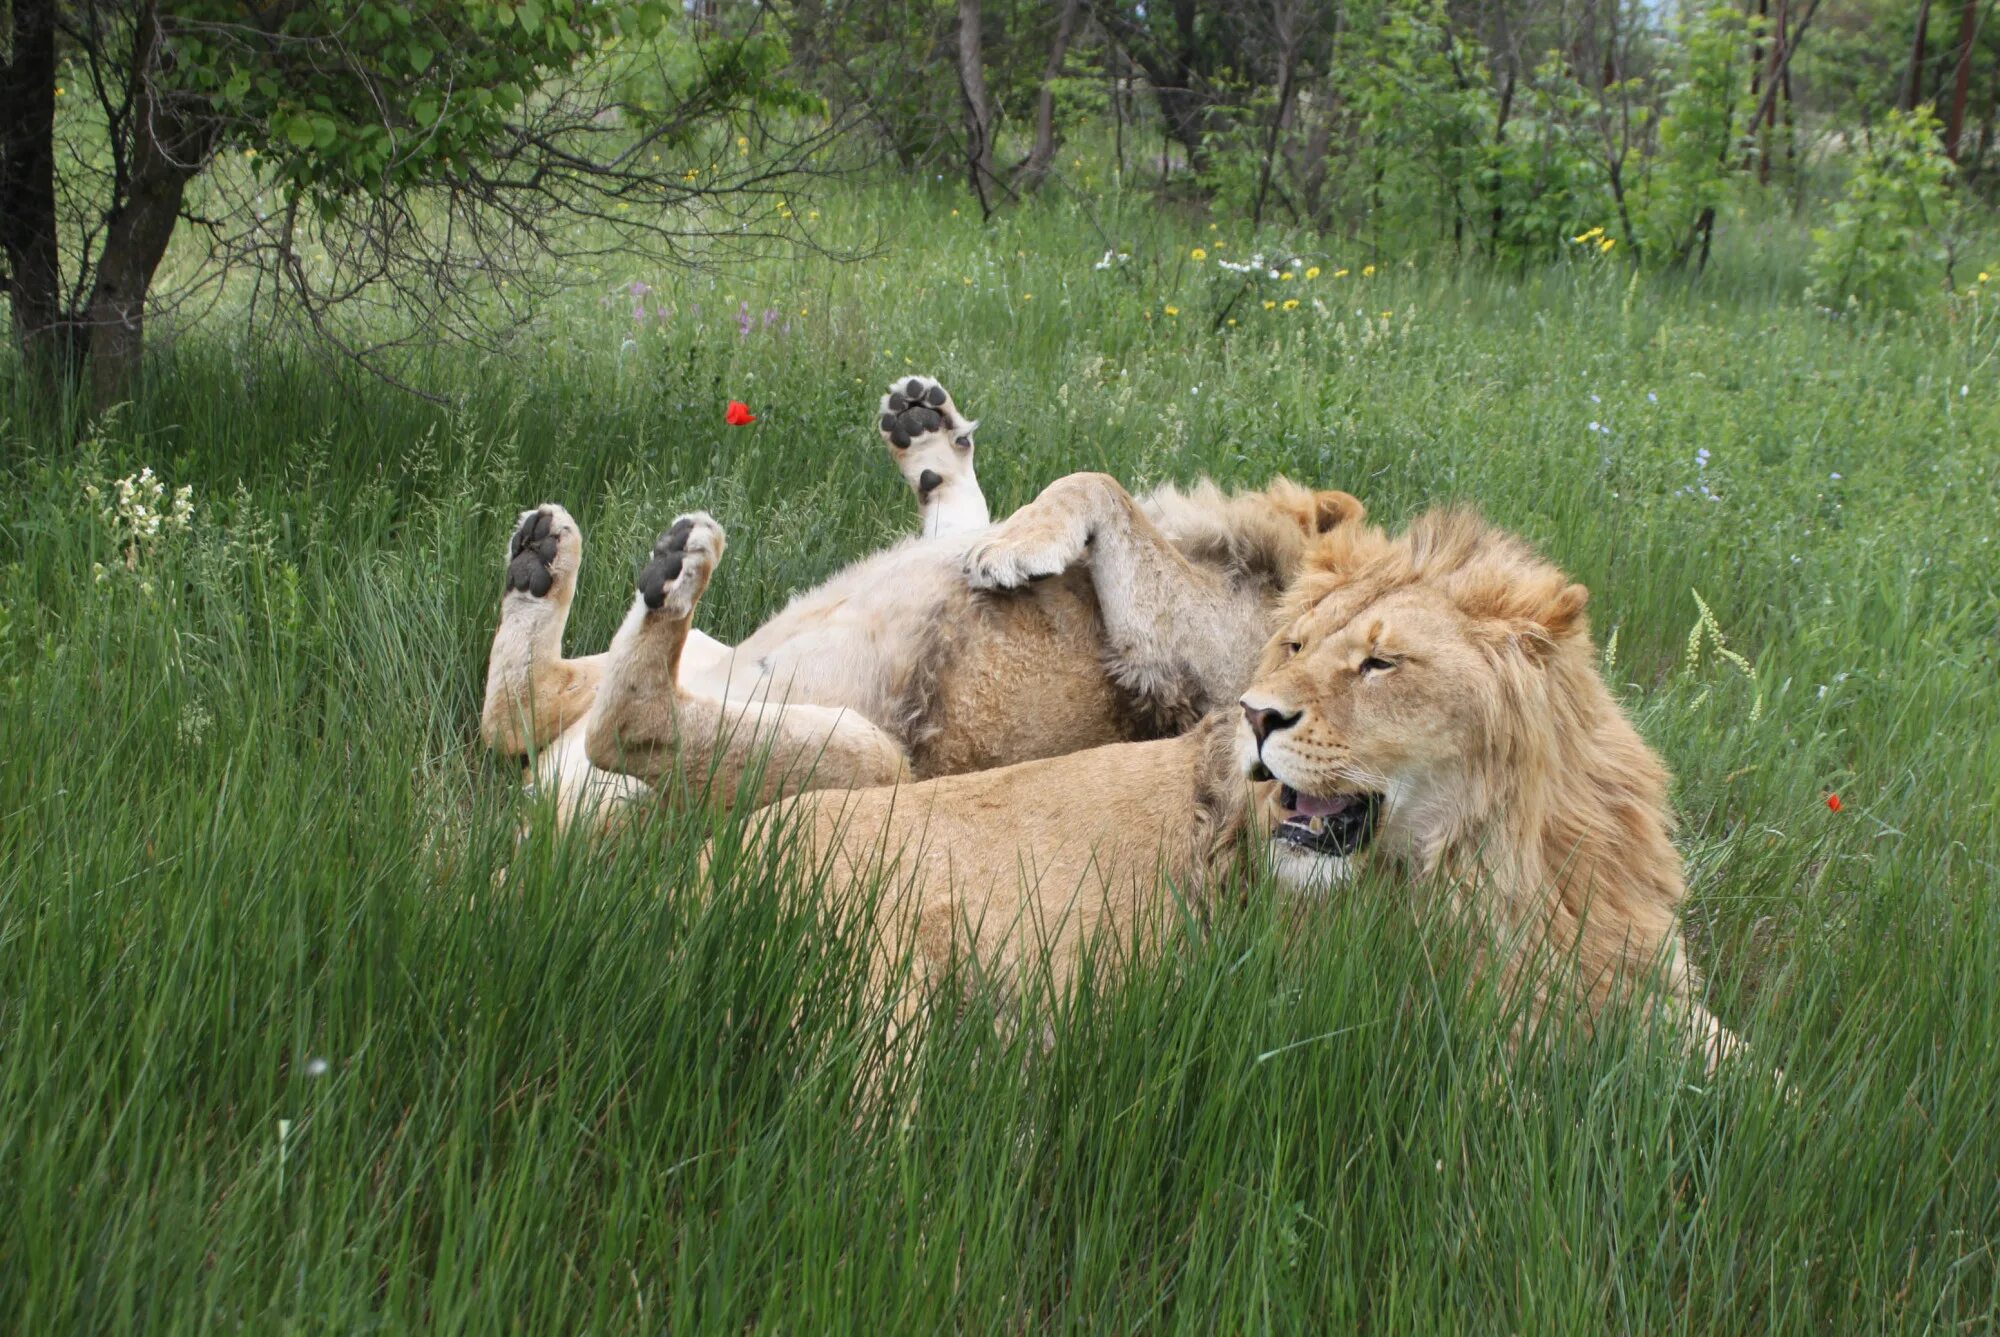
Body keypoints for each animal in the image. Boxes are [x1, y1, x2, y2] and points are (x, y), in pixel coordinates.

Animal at [476, 376, 1368, 824]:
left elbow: (1095, 482)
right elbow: (970, 507)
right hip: (715, 656)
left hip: (871, 760)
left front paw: (1010, 551)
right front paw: (926, 424)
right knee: (516, 712)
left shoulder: (1197, 658)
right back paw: (542, 556)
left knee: (625, 725)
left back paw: (675, 568)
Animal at [772, 496, 1744, 1056]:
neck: (1502, 861)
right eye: (1297, 645)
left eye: (1380, 662)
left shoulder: (1630, 969)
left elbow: (1753, 1078)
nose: (1254, 714)